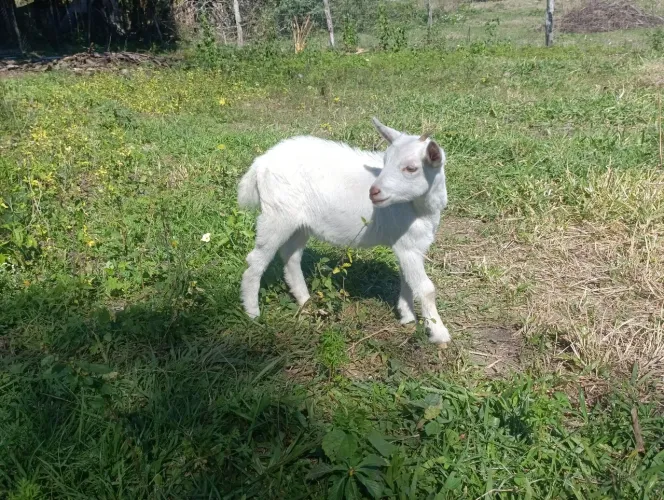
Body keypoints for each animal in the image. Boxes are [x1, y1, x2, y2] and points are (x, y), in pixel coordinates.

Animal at [237, 118, 450, 343]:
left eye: (411, 168)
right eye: (385, 161)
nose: (374, 192)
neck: (420, 208)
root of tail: (260, 163)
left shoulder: (409, 245)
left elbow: (408, 280)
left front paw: (407, 316)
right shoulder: (407, 245)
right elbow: (426, 288)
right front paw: (439, 333)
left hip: (299, 223)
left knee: (291, 257)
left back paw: (305, 301)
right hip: (276, 215)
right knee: (256, 260)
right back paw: (253, 313)